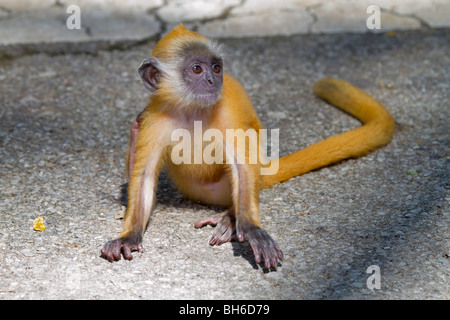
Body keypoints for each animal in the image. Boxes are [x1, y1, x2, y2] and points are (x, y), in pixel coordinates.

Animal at [101, 25, 394, 270]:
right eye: (196, 69)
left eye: (216, 67)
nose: (213, 81)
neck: (191, 110)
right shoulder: (155, 119)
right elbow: (144, 176)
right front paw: (129, 235)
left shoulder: (227, 112)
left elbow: (242, 169)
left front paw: (250, 227)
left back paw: (231, 218)